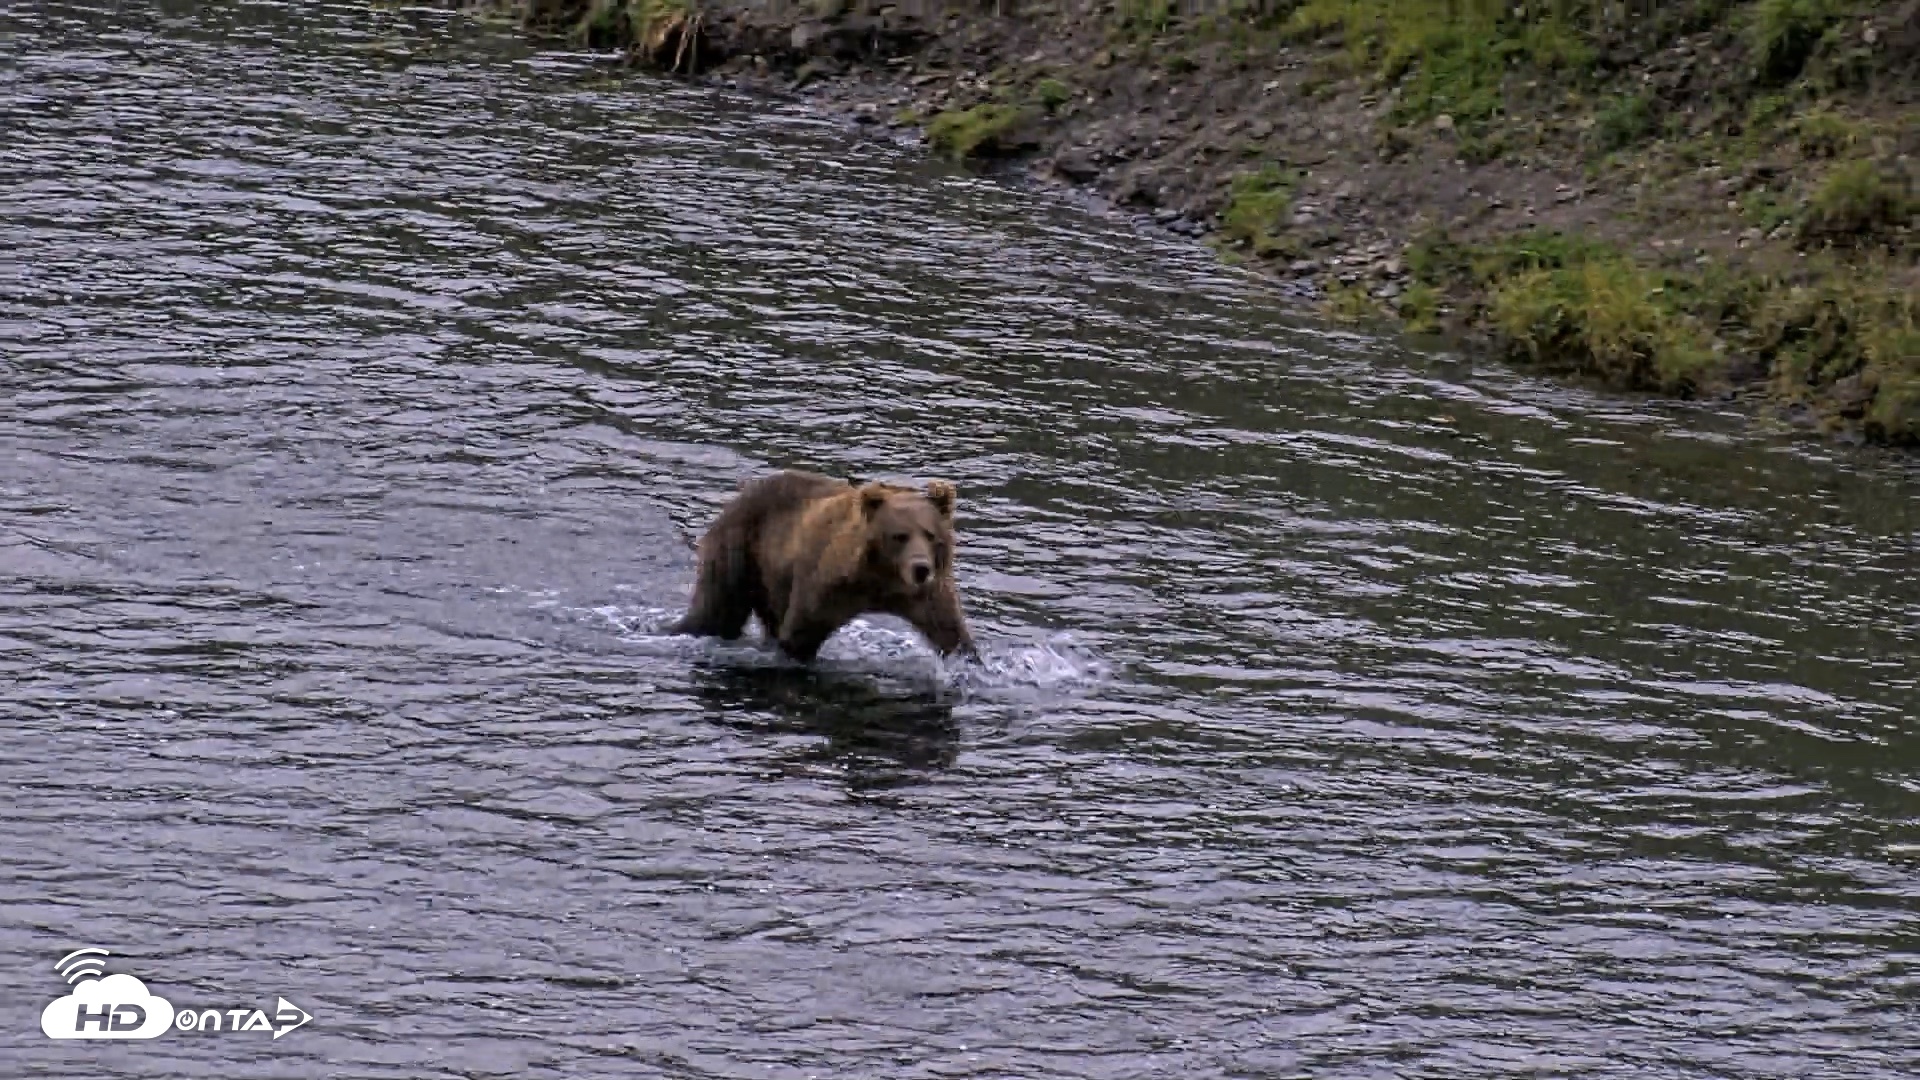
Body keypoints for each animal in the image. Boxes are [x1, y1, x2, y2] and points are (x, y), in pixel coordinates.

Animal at [669, 469, 979, 664]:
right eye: (899, 535)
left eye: (930, 534)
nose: (921, 569)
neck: (879, 578)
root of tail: (736, 498)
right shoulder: (826, 582)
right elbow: (800, 634)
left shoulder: (927, 594)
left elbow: (950, 631)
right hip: (741, 552)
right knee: (716, 613)